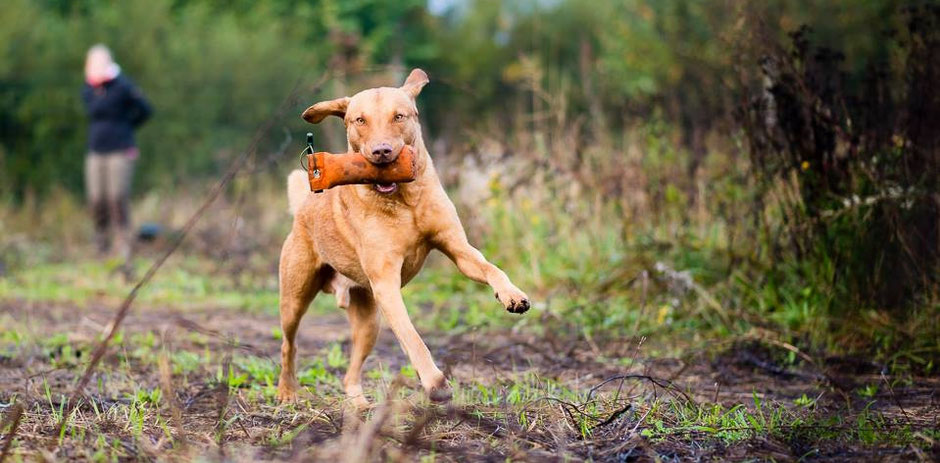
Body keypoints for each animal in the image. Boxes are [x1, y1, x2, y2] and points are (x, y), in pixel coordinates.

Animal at [278, 69, 528, 406]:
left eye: (399, 116)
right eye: (360, 120)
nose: (382, 152)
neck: (405, 200)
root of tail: (303, 206)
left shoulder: (458, 248)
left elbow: (491, 268)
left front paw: (512, 294)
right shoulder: (386, 282)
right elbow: (412, 336)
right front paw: (436, 383)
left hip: (369, 322)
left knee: (350, 372)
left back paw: (358, 404)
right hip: (295, 297)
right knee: (288, 345)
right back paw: (287, 391)